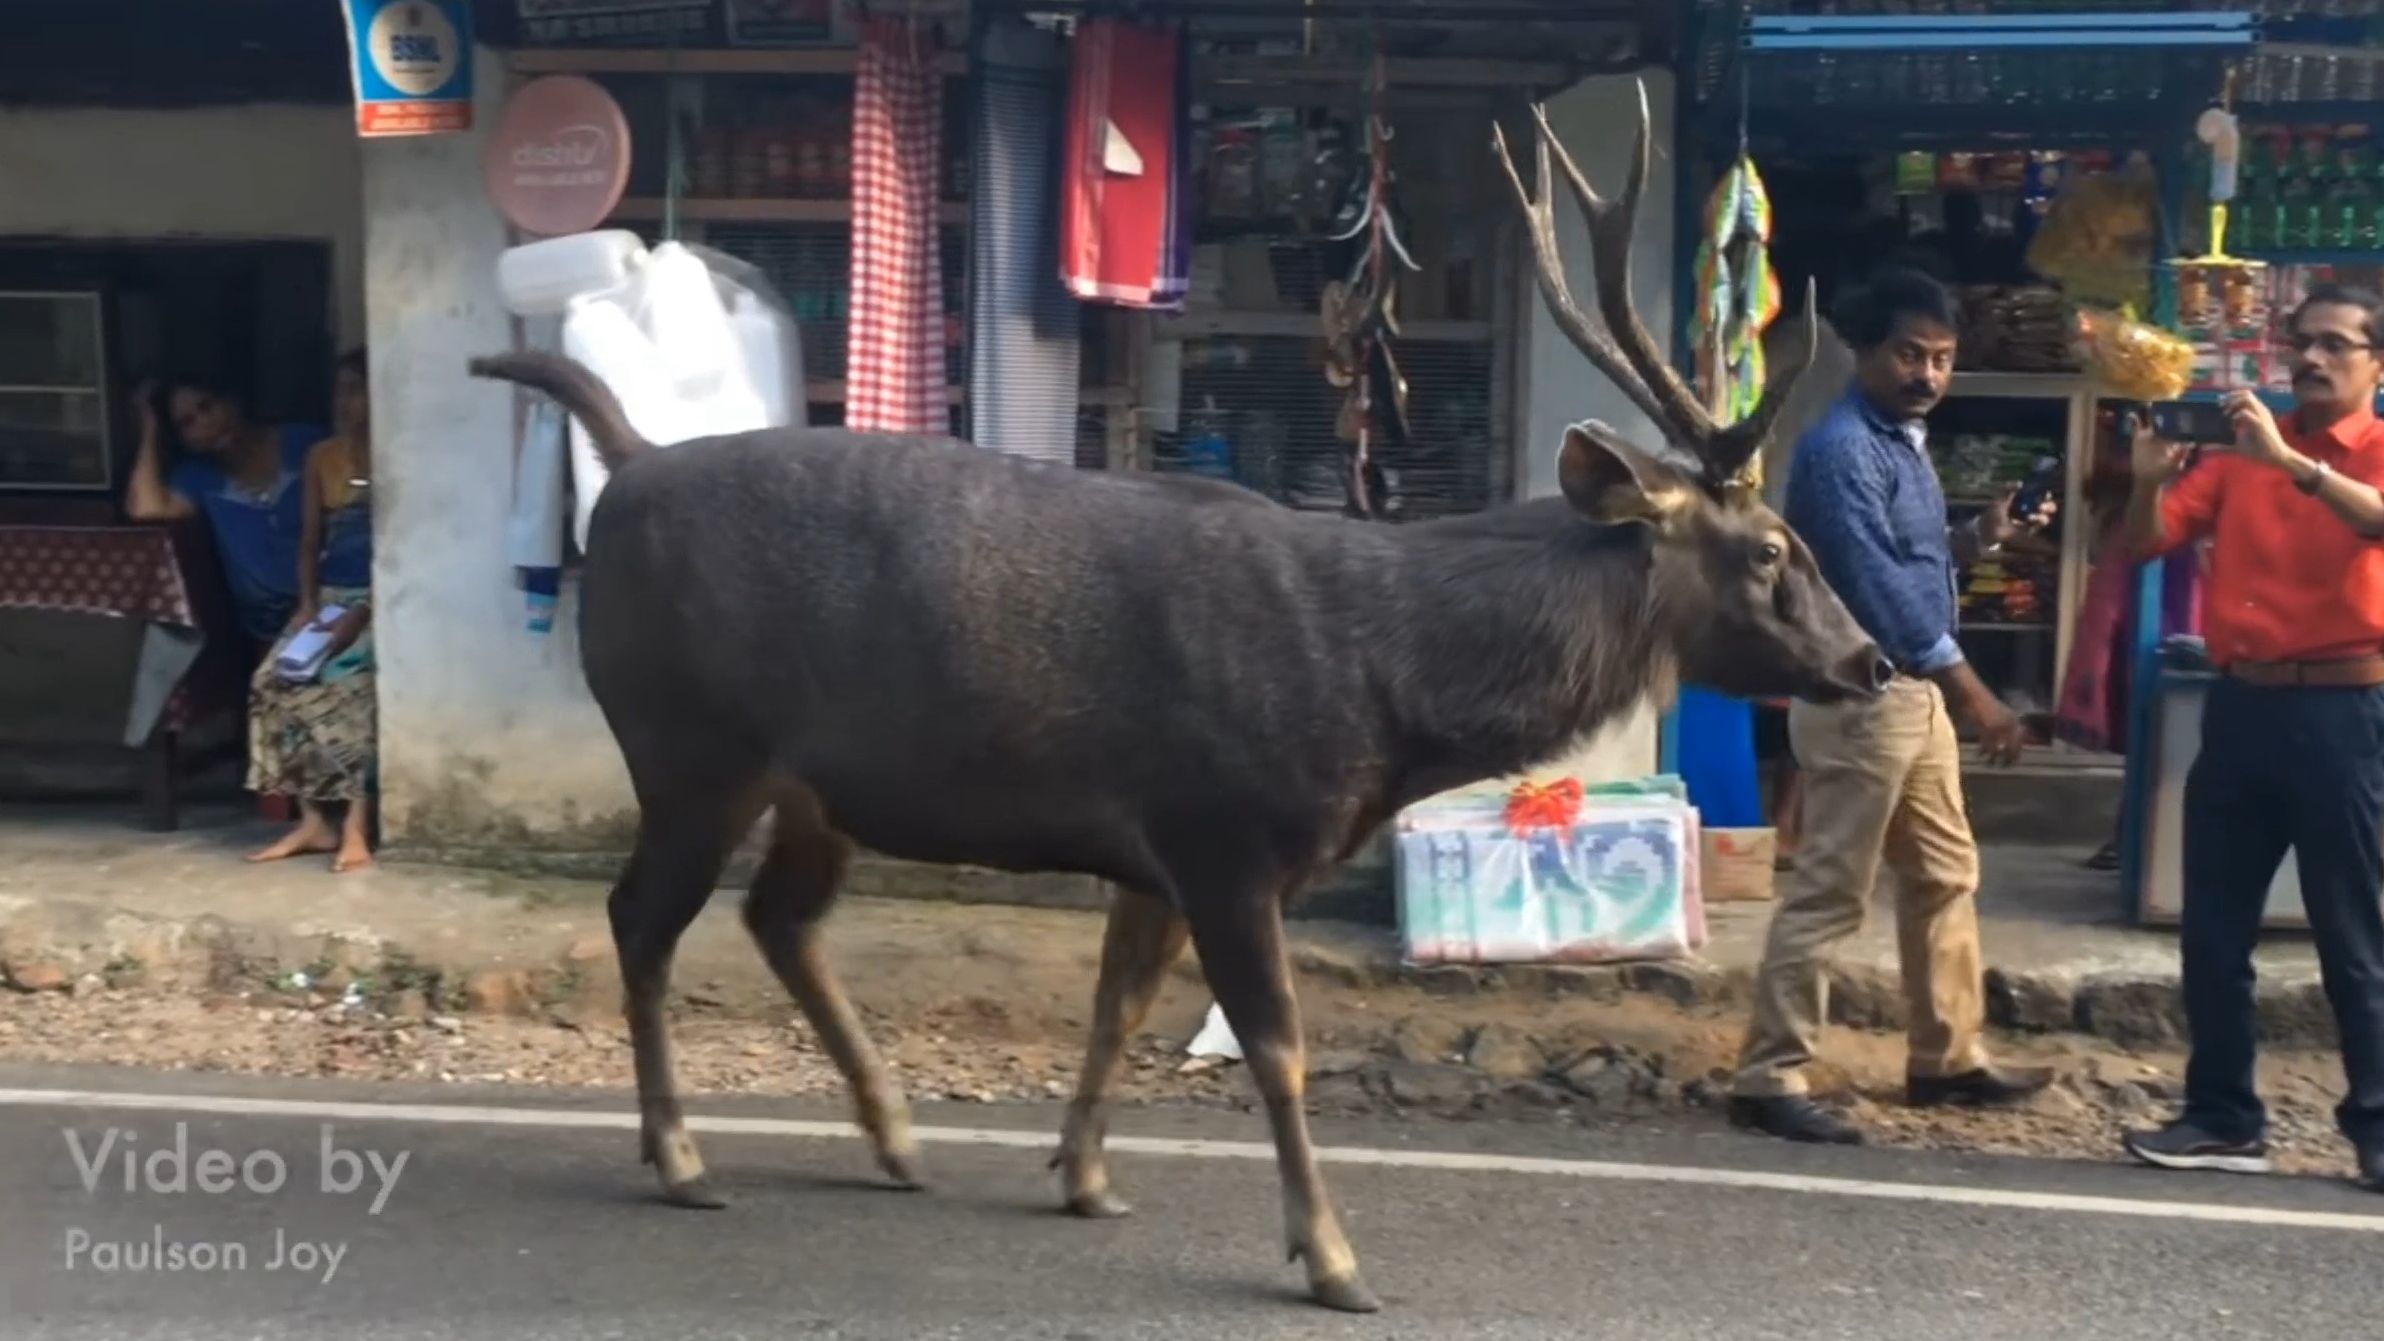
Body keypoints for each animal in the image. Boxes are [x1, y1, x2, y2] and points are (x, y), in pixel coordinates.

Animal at [464, 81, 1878, 1307]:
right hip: (685, 744)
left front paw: (1084, 1176)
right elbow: (1274, 1043)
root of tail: (626, 467)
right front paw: (1331, 1260)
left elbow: (1120, 1008)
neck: (1387, 694)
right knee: (642, 920)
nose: (1868, 659)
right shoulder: (1223, 829)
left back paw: (894, 1137)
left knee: (777, 919)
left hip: (812, 784)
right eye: (1769, 550)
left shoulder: (1151, 850)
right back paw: (682, 1157)